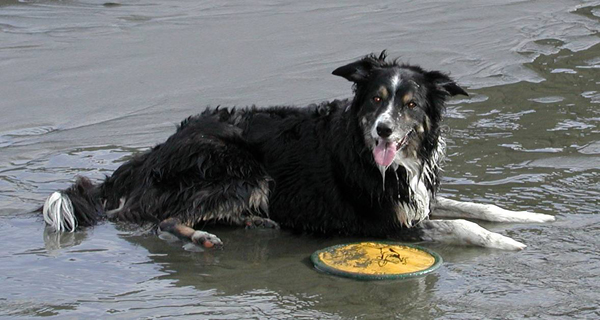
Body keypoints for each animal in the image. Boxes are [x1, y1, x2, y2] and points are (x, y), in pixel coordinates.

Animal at [44, 52, 556, 251]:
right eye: (375, 100)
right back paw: (206, 235)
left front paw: (534, 218)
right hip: (242, 167)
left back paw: (254, 221)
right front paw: (510, 243)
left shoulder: (415, 199)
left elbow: (481, 207)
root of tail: (153, 153)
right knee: (163, 219)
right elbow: (465, 225)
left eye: (410, 104)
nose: (384, 130)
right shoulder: (382, 223)